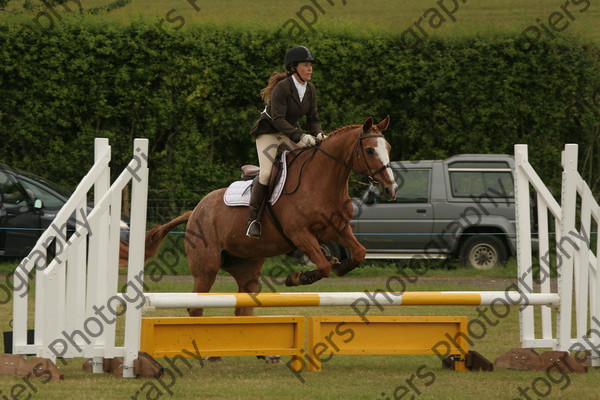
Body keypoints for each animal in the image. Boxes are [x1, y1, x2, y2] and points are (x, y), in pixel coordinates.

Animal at [131, 115, 396, 316]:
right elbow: (322, 266)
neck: (322, 181)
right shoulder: (300, 234)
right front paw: (297, 277)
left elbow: (358, 253)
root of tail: (196, 209)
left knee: (242, 306)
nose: (390, 189)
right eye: (369, 150)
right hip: (205, 267)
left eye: (388, 149)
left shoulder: (338, 229)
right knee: (196, 305)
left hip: (246, 267)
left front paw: (339, 265)